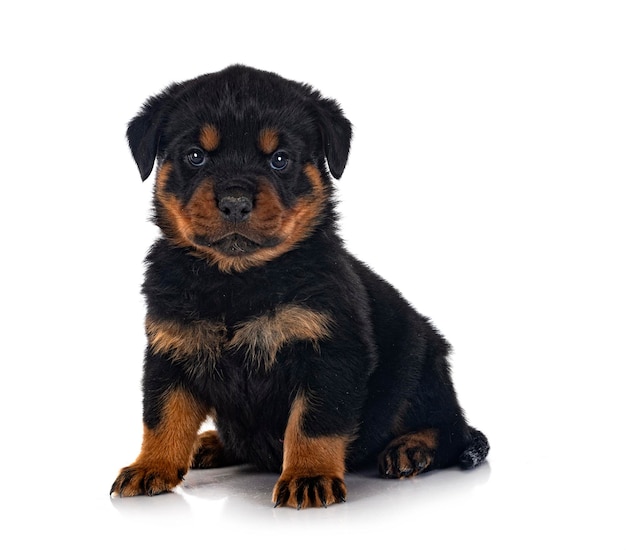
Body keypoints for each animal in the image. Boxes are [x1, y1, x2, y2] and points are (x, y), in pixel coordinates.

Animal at [109, 67, 488, 512]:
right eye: (195, 156)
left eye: (280, 159)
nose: (235, 201)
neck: (237, 280)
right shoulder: (170, 350)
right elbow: (162, 416)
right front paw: (151, 466)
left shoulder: (330, 354)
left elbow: (312, 423)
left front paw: (309, 476)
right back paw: (210, 443)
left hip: (420, 369)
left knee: (450, 430)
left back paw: (411, 448)